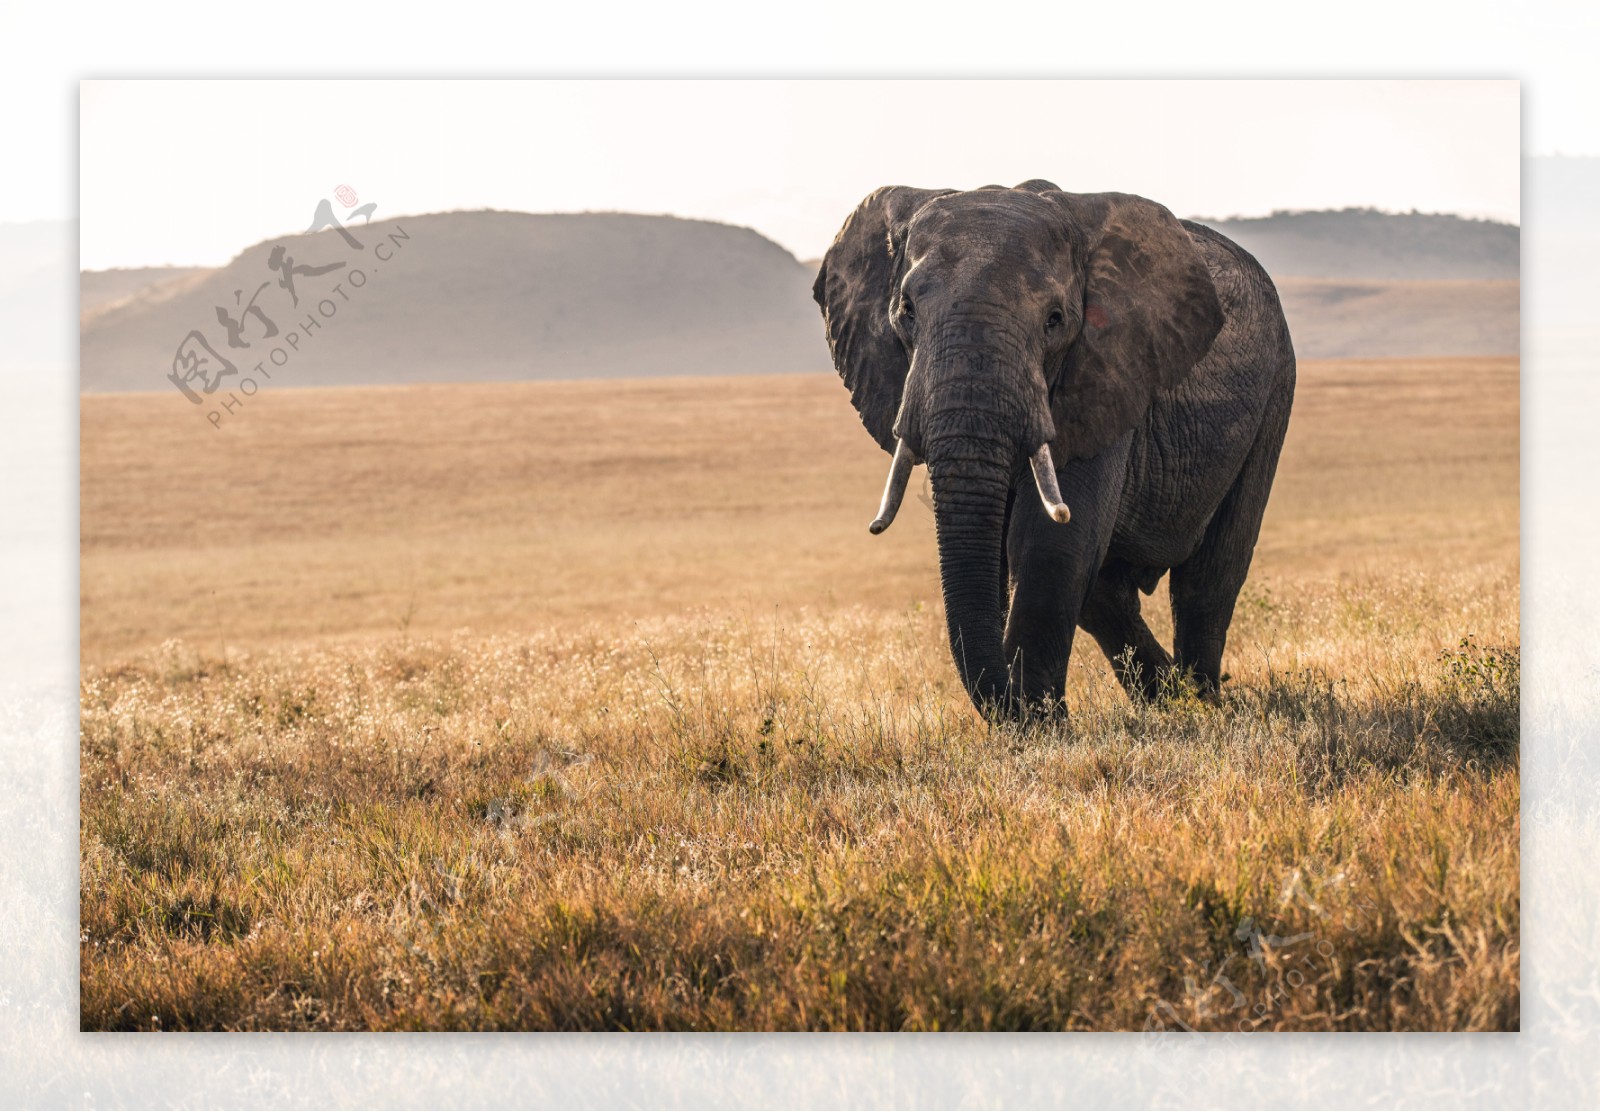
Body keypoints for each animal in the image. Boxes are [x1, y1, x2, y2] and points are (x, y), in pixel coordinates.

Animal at [812, 180, 1299, 723]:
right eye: (906, 312)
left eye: (1055, 320)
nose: (1015, 706)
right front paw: (1036, 719)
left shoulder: (1105, 371)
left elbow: (1049, 542)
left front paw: (1041, 726)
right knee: (1107, 594)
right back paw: (1168, 700)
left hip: (1276, 389)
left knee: (1209, 576)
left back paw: (1203, 704)